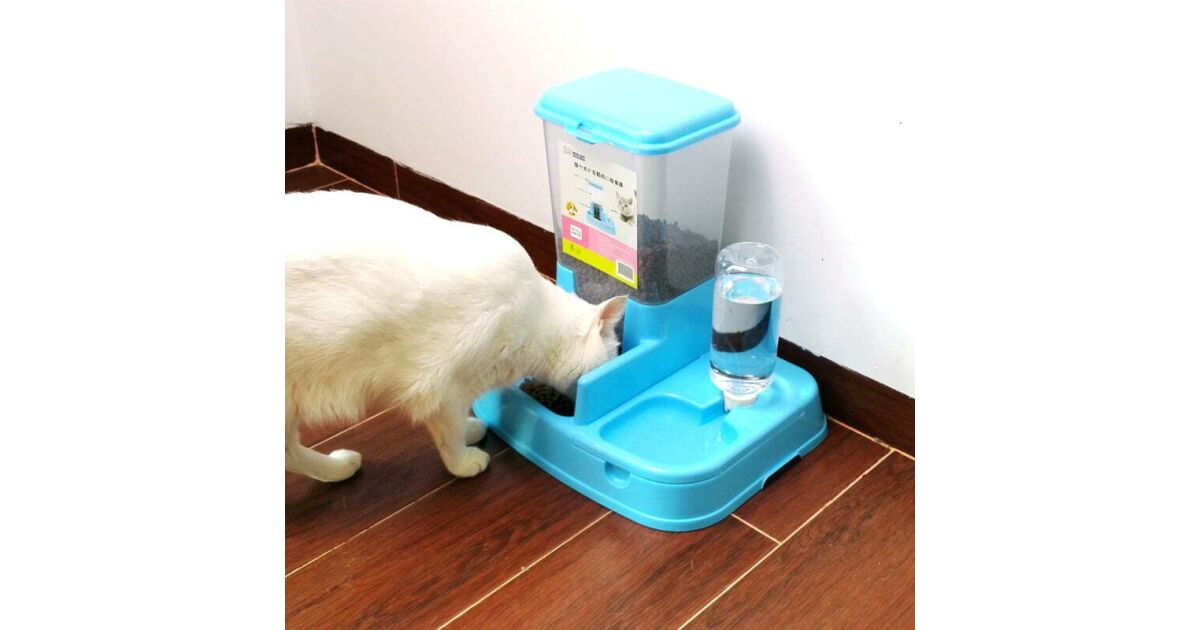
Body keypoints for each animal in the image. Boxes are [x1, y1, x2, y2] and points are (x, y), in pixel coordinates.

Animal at [285, 190, 626, 482]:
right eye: (614, 354)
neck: (535, 317)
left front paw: (472, 431)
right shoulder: (446, 390)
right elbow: (450, 435)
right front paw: (464, 462)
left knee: (290, 455)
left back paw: (339, 467)